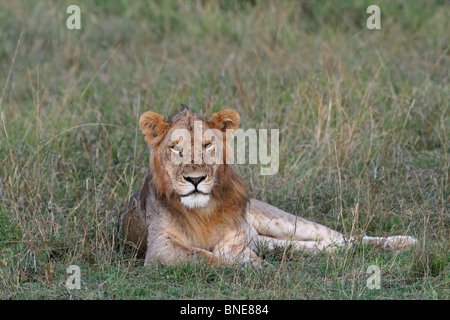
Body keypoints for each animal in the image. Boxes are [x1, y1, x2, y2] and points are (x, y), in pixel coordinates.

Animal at [120, 105, 418, 268]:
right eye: (175, 148)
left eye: (207, 145)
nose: (195, 179)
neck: (201, 212)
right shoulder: (160, 249)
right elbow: (206, 257)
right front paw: (255, 269)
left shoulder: (235, 240)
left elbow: (229, 256)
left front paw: (258, 268)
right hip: (267, 239)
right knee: (311, 246)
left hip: (277, 220)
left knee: (344, 237)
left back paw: (402, 242)